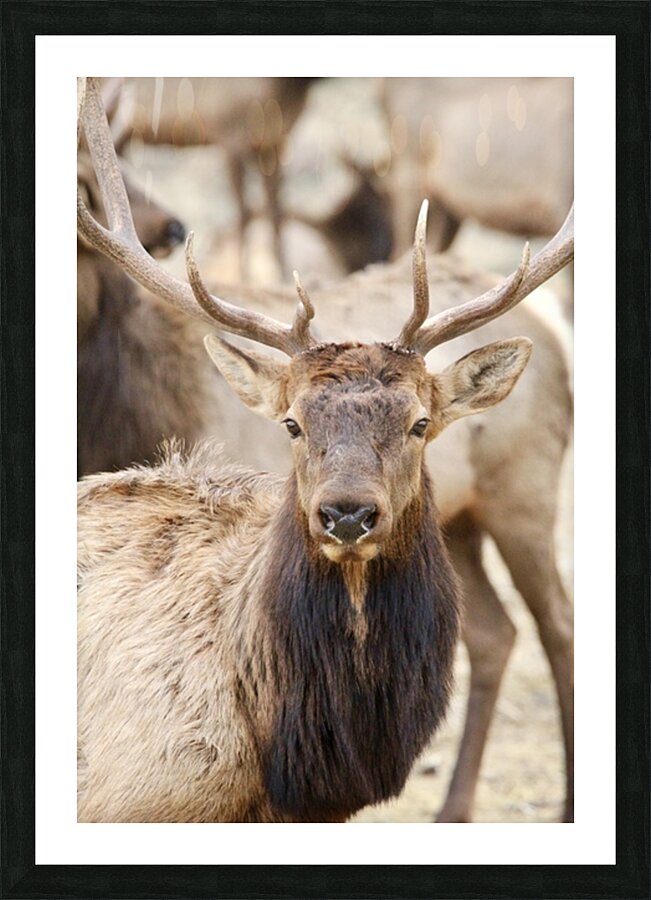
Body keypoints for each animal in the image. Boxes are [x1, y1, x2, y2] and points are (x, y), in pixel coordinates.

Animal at [77, 78, 574, 823]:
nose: (346, 514)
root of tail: (556, 325)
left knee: (557, 625)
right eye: (291, 423)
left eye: (420, 422)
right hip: (466, 521)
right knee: (496, 632)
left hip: (525, 489)